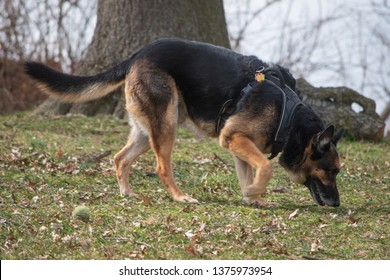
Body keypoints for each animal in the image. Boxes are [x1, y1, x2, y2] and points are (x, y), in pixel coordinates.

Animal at [24, 38, 342, 207]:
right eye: (332, 171)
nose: (337, 204)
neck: (289, 117)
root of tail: (139, 53)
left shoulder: (238, 145)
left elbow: (249, 172)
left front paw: (252, 198)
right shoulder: (234, 138)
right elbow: (264, 167)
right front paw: (254, 192)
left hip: (148, 129)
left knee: (119, 158)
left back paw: (127, 192)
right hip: (167, 126)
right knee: (161, 167)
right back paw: (179, 197)